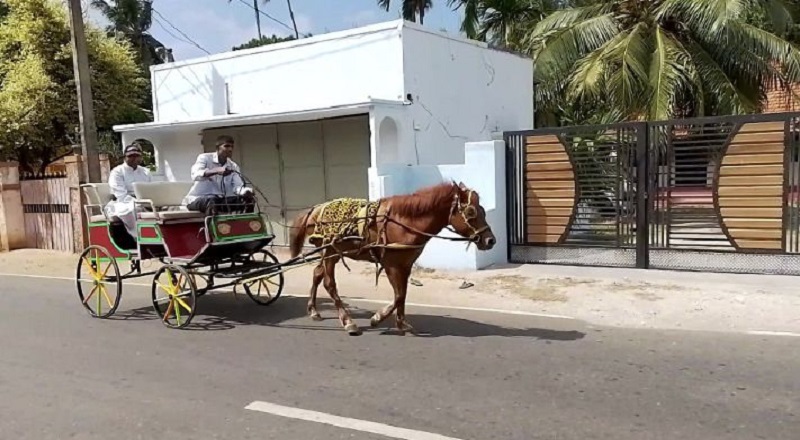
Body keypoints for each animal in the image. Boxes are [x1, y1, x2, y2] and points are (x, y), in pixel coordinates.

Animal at [288, 180, 496, 336]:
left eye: (483, 210)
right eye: (471, 212)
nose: (490, 240)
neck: (403, 222)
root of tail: (315, 209)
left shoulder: (405, 265)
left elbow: (402, 294)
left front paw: (401, 323)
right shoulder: (391, 265)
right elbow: (398, 296)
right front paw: (377, 318)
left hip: (330, 252)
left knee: (317, 274)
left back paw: (314, 311)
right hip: (330, 252)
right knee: (329, 283)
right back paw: (348, 322)